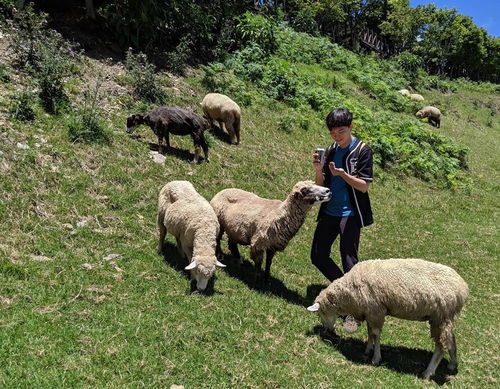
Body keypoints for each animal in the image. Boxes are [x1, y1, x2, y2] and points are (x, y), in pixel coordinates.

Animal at [308, 258, 468, 378]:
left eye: (321, 313)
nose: (327, 331)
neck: (348, 294)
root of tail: (463, 289)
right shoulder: (370, 311)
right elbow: (370, 332)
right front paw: (368, 349)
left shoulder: (376, 310)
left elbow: (376, 334)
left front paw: (376, 358)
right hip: (445, 318)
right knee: (451, 340)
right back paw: (452, 364)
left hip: (441, 317)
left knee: (441, 346)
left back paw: (428, 372)